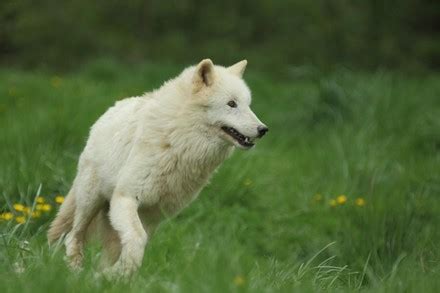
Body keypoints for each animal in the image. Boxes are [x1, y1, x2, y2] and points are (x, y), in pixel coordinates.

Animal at [47, 58, 268, 278]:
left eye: (248, 105)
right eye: (231, 104)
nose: (263, 129)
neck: (178, 142)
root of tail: (110, 110)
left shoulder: (153, 216)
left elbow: (137, 243)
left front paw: (115, 276)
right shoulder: (126, 197)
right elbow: (137, 240)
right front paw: (118, 274)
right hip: (90, 200)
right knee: (73, 235)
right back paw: (75, 270)